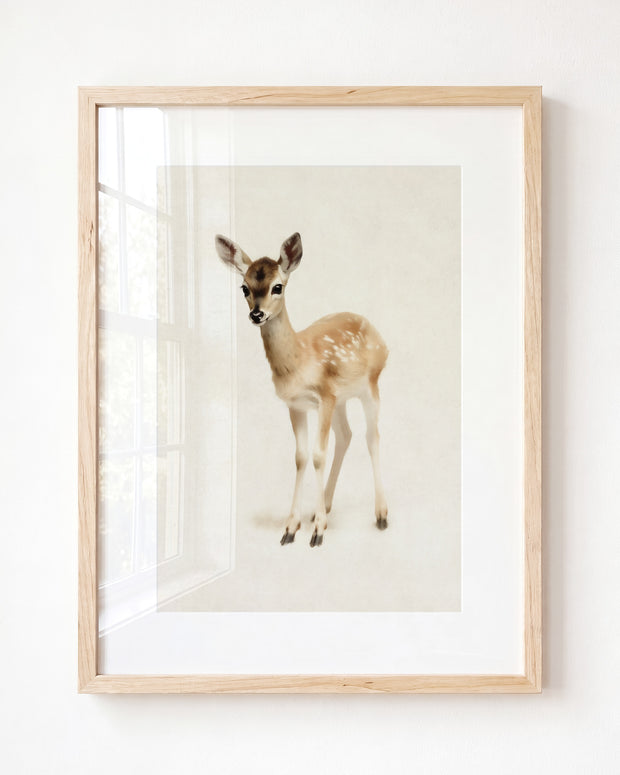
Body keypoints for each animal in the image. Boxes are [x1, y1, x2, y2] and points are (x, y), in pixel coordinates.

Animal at [216, 232, 389, 547]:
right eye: (244, 287)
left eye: (278, 286)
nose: (257, 314)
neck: (298, 362)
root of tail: (379, 335)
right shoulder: (297, 404)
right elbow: (301, 457)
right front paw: (291, 527)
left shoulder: (325, 395)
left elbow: (319, 455)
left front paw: (317, 532)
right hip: (342, 399)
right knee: (346, 435)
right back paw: (325, 506)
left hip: (370, 384)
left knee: (372, 436)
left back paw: (380, 514)